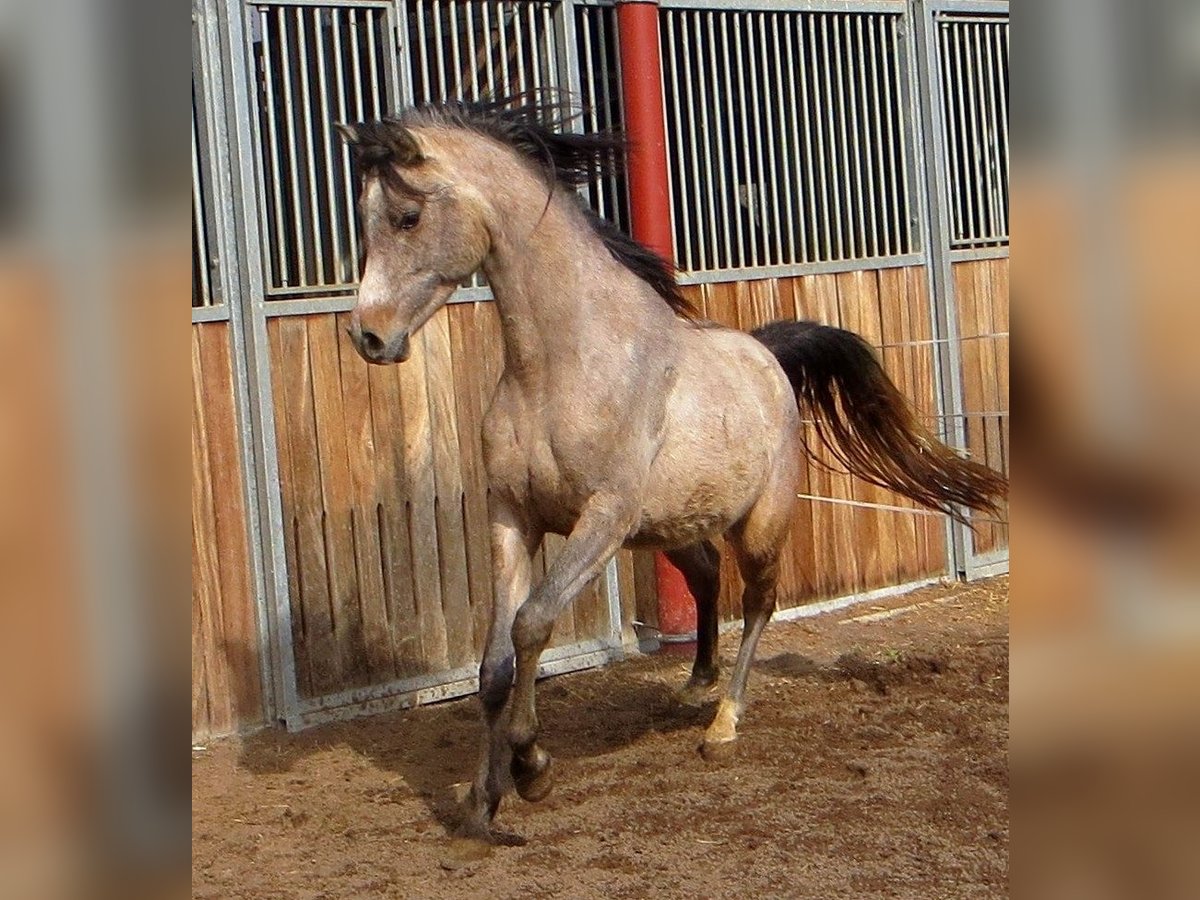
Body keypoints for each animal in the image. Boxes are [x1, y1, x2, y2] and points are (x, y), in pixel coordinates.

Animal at [333, 95, 1008, 844]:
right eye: (364, 217)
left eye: (407, 216)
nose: (368, 336)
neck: (561, 366)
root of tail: (768, 356)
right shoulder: (512, 517)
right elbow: (493, 666)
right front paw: (483, 801)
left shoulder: (600, 520)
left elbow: (533, 624)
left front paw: (532, 769)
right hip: (669, 527)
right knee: (707, 574)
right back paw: (696, 682)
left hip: (757, 525)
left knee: (760, 601)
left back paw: (723, 723)